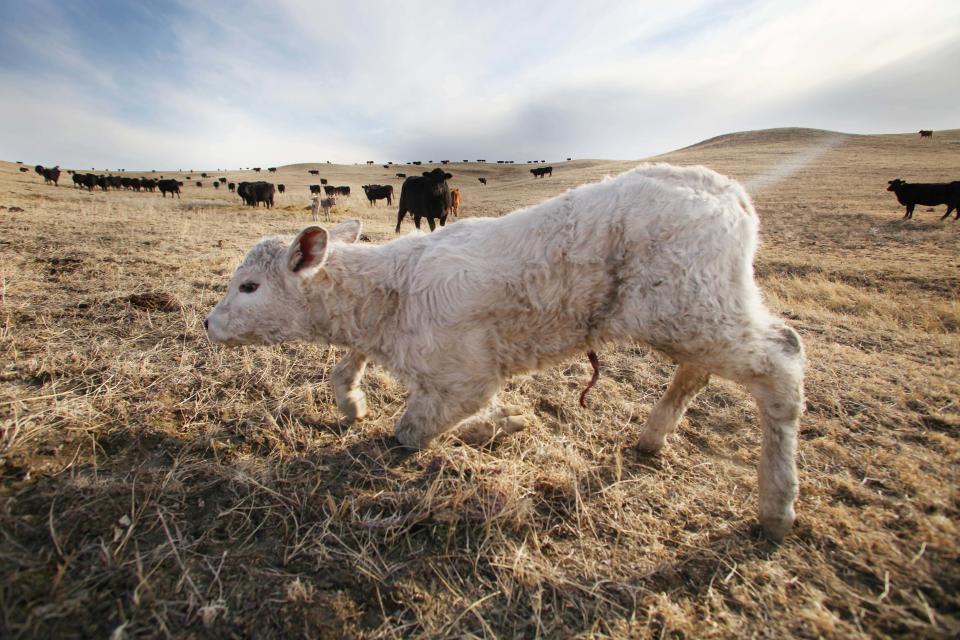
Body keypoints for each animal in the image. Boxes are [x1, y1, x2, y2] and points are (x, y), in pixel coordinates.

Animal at [204, 164, 808, 540]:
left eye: (249, 287)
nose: (209, 323)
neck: (393, 292)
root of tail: (728, 191)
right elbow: (347, 367)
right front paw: (353, 401)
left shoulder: (463, 377)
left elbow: (411, 431)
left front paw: (498, 423)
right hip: (702, 305)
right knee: (702, 369)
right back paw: (652, 437)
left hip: (689, 306)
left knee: (782, 360)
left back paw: (776, 506)